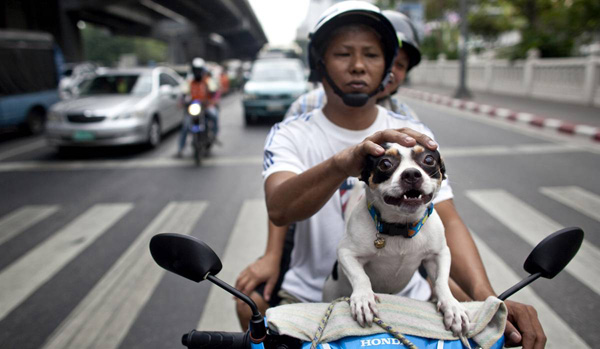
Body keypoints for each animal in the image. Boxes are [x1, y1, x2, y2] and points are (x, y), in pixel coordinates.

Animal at [322, 143, 472, 336]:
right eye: (385, 163)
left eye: (429, 159)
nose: (411, 174)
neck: (400, 227)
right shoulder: (346, 253)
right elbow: (361, 276)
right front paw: (363, 298)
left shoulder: (439, 255)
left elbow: (441, 282)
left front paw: (452, 306)